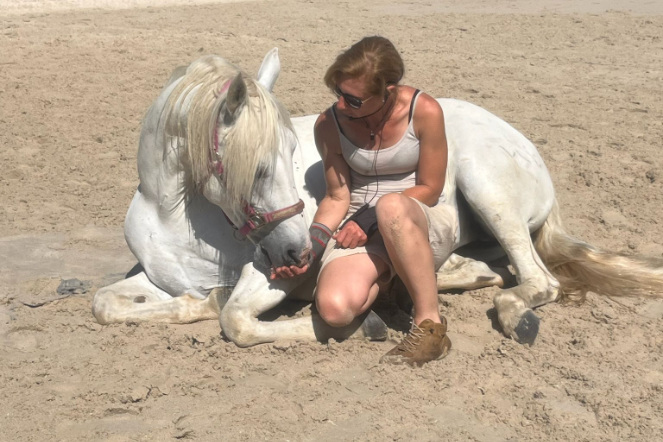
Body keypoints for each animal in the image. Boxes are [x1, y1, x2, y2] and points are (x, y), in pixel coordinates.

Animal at [92, 49, 663, 347]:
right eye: (256, 169)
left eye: (291, 153)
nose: (298, 251)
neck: (176, 221)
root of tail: (524, 144)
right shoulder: (156, 278)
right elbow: (106, 304)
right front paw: (196, 301)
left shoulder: (273, 275)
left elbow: (236, 321)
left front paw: (355, 324)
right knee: (495, 269)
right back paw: (461, 278)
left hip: (487, 189)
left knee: (538, 279)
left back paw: (510, 313)